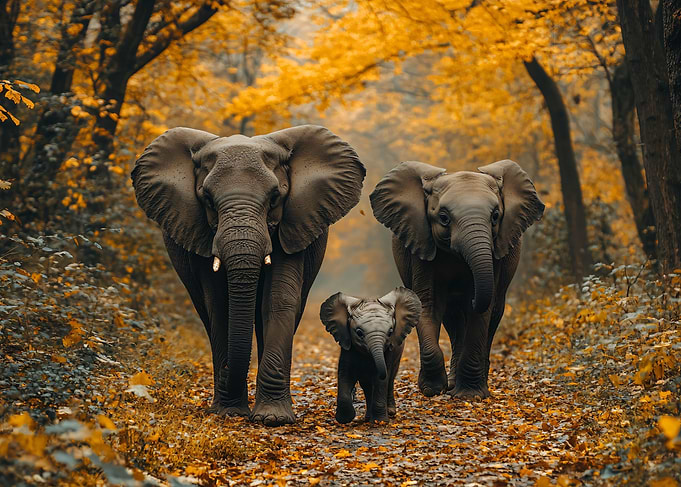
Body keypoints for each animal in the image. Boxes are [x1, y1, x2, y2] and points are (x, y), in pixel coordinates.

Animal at [131, 124, 366, 426]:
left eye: (275, 197)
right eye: (207, 199)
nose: (227, 373)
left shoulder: (292, 224)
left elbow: (278, 300)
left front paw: (273, 419)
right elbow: (220, 306)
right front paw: (230, 412)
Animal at [320, 287, 421, 423]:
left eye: (390, 332)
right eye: (359, 333)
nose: (354, 394)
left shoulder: (388, 352)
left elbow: (381, 379)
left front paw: (380, 421)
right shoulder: (347, 346)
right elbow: (345, 374)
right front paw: (345, 419)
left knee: (390, 379)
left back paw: (389, 412)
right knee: (368, 386)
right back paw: (368, 417)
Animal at [370, 160, 544, 399]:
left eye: (495, 216)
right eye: (443, 218)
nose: (471, 296)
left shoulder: (496, 253)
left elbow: (483, 311)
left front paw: (470, 395)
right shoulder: (421, 244)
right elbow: (427, 302)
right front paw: (432, 390)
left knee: (493, 314)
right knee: (452, 319)